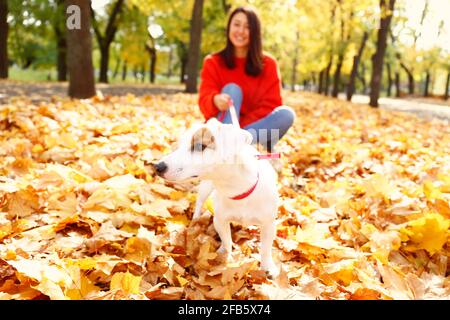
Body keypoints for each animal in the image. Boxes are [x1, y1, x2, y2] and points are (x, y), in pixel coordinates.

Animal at [155, 119, 280, 276]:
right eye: (179, 145)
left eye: (199, 146)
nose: (157, 167)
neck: (236, 190)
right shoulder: (220, 221)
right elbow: (227, 241)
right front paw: (225, 258)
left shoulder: (269, 224)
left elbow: (266, 249)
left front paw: (268, 266)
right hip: (205, 188)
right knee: (199, 202)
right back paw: (196, 219)